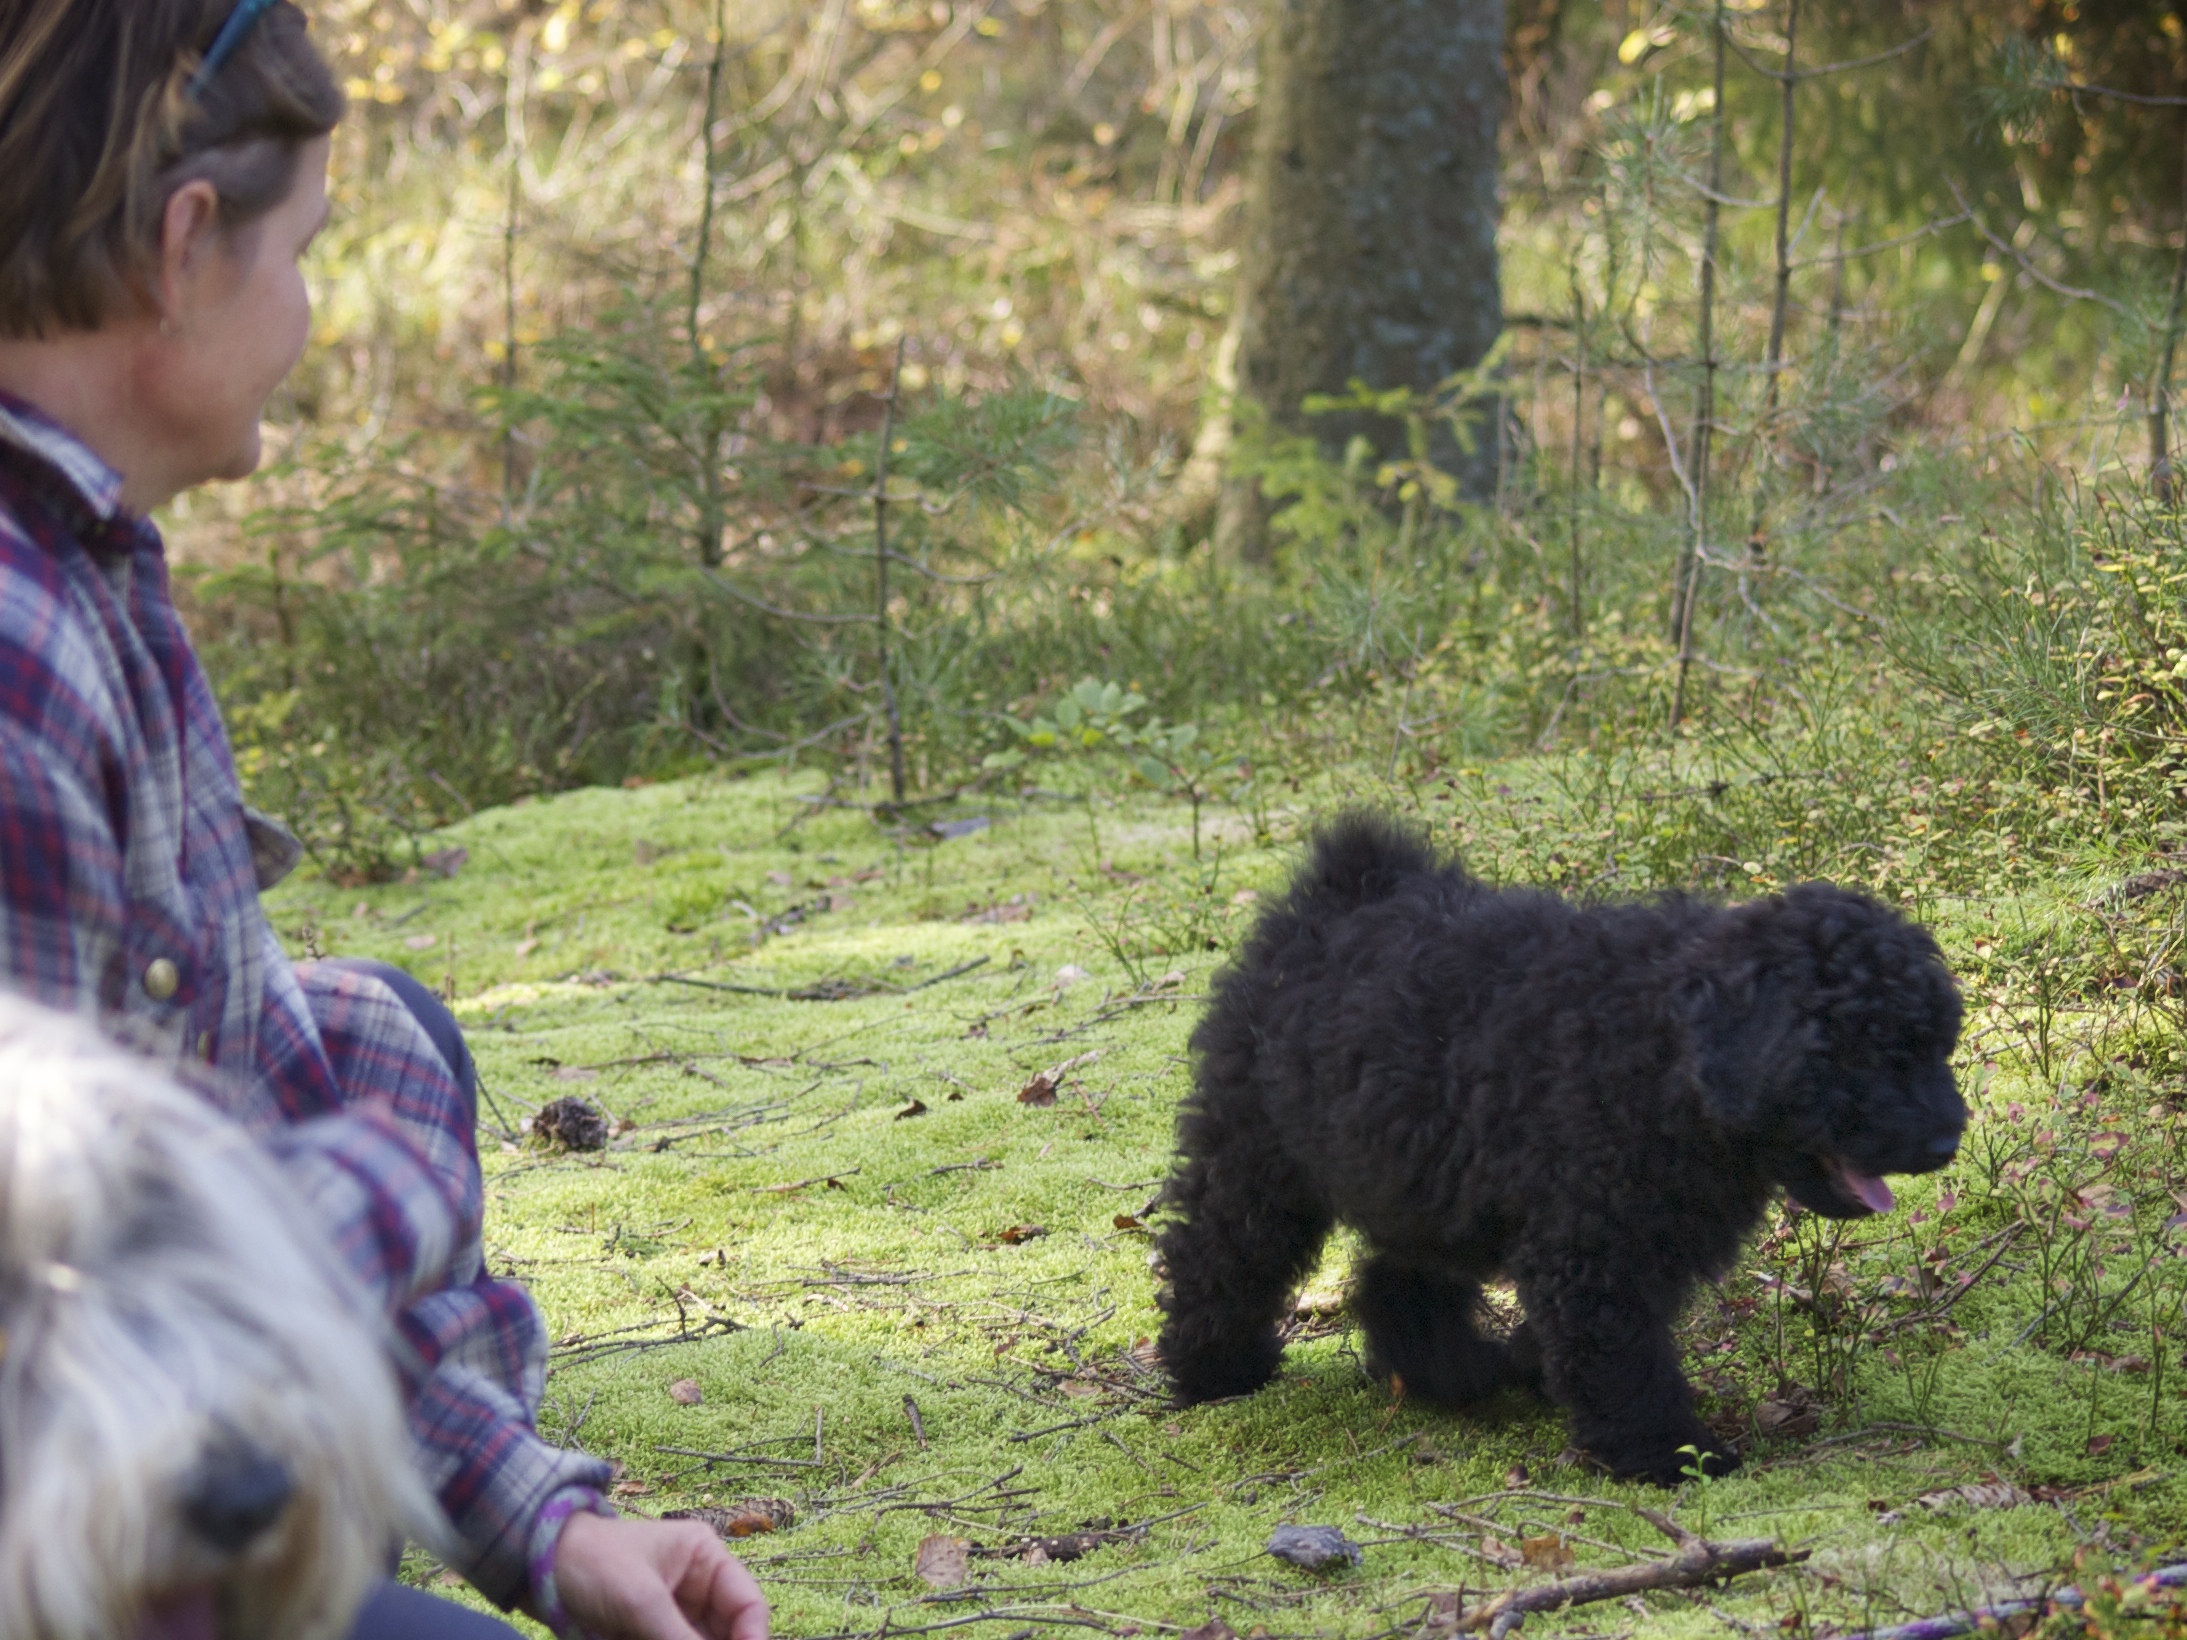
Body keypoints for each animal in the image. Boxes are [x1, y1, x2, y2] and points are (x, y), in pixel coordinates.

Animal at [1156, 812, 1965, 1484]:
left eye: (1934, 1044)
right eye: (1866, 1052)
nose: (1946, 1139)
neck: (1665, 1053)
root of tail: (1342, 891)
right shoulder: (1595, 1248)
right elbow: (1623, 1359)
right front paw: (1674, 1457)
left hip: (1423, 1175)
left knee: (1397, 1284)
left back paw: (1456, 1372)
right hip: (1258, 1159)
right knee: (1218, 1256)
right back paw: (1214, 1372)